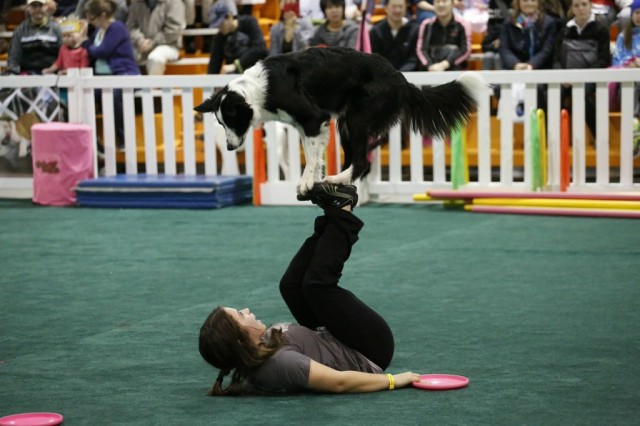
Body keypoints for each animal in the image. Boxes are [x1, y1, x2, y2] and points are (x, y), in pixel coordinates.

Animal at [195, 47, 484, 195]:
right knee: (359, 158)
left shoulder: (314, 117)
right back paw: (338, 180)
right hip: (346, 123)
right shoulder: (306, 126)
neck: (256, 90)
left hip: (356, 117)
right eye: (220, 123)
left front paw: (306, 182)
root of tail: (402, 79)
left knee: (363, 161)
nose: (229, 147)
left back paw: (338, 177)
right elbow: (313, 154)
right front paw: (314, 178)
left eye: (230, 120)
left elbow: (310, 157)